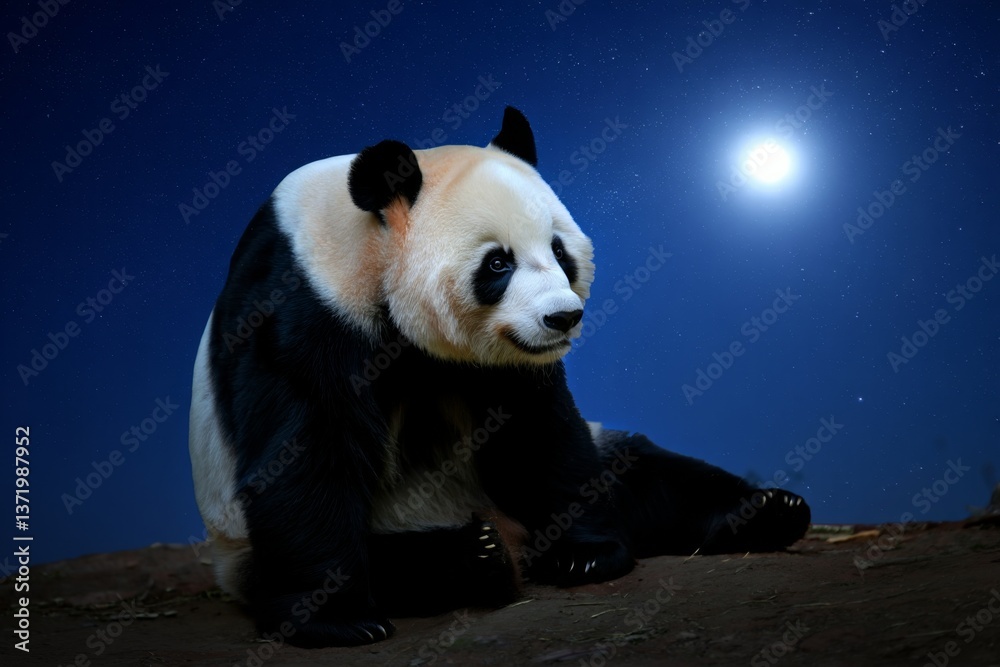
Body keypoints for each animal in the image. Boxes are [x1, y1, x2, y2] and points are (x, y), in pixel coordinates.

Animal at [188, 107, 811, 648]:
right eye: (497, 262)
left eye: (560, 250)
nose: (563, 317)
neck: (370, 243)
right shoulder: (306, 304)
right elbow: (308, 451)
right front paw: (336, 622)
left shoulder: (509, 364)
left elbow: (538, 431)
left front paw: (586, 553)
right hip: (246, 547)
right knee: (388, 562)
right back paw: (474, 557)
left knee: (647, 473)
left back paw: (767, 512)